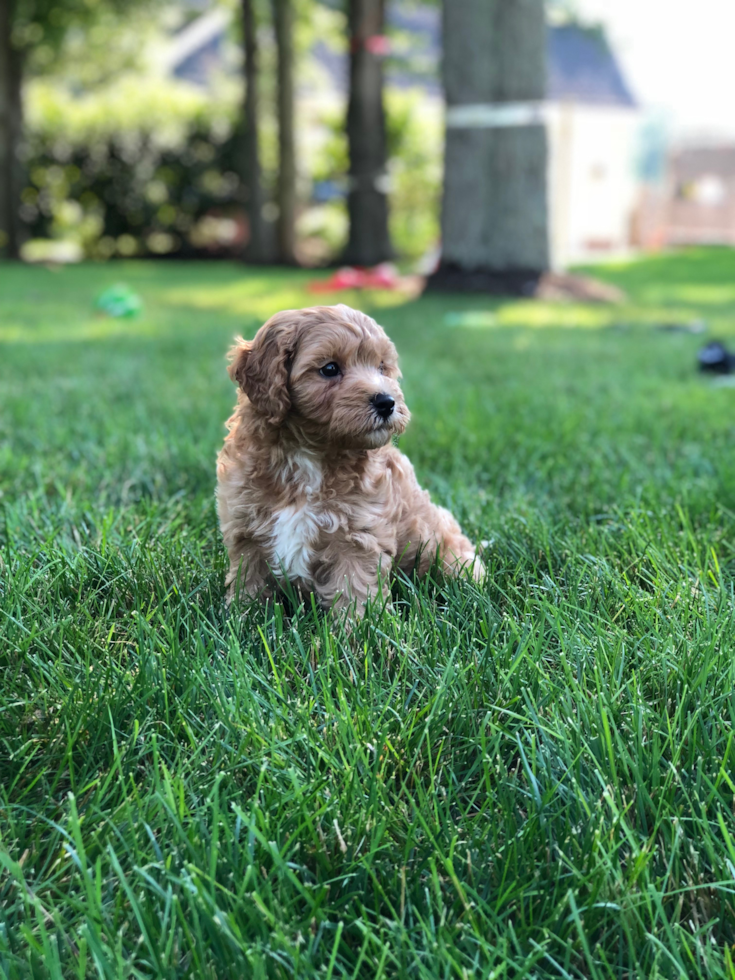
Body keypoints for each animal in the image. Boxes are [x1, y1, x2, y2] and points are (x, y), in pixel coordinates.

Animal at [216, 302, 486, 616]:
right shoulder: (246, 527)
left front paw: (360, 628)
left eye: (381, 367)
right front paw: (242, 616)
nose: (387, 402)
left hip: (447, 550)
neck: (308, 456)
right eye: (330, 369)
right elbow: (249, 580)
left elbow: (355, 589)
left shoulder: (359, 534)